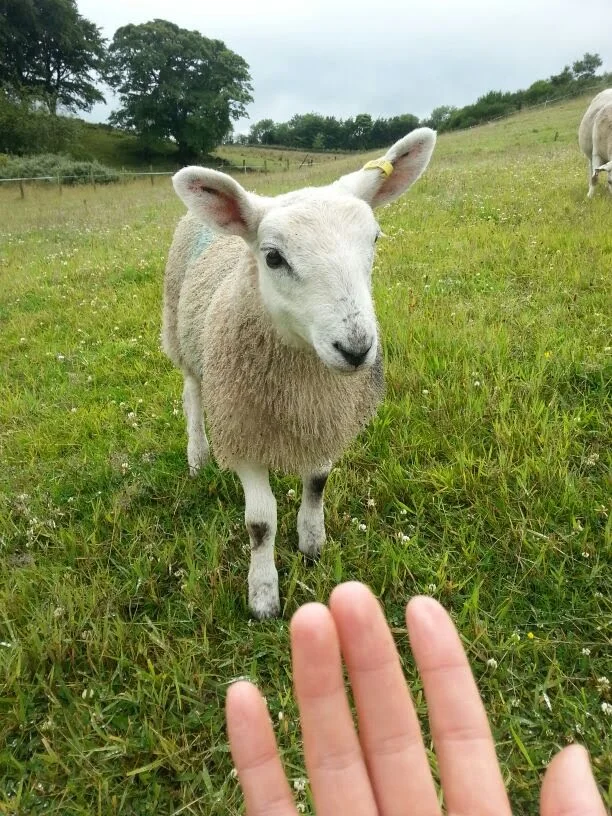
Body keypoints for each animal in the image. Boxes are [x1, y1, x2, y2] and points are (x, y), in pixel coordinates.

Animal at [162, 128, 436, 618]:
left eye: (375, 240)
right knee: (192, 392)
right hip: (182, 334)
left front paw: (312, 542)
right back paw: (197, 455)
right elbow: (260, 523)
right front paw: (263, 594)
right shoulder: (242, 427)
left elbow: (317, 482)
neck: (302, 382)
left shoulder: (324, 417)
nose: (356, 349)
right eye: (273, 258)